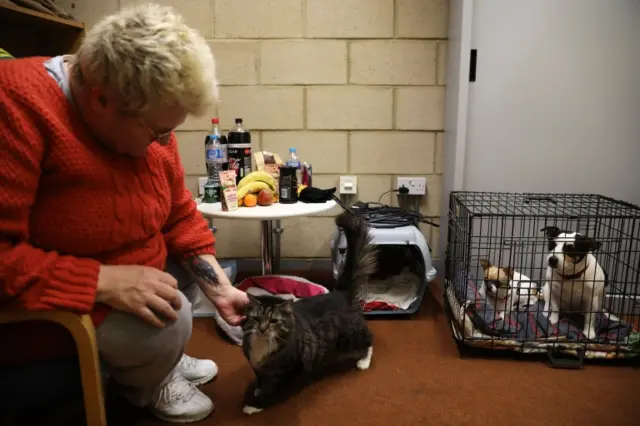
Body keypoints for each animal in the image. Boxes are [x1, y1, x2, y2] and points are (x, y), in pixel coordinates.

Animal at [242, 211, 378, 414]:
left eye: (273, 321)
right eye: (256, 318)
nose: (263, 329)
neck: (263, 346)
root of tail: (341, 293)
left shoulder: (290, 371)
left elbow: (271, 393)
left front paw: (254, 405)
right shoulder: (257, 367)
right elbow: (260, 380)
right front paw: (258, 390)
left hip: (351, 335)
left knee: (369, 340)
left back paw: (363, 362)